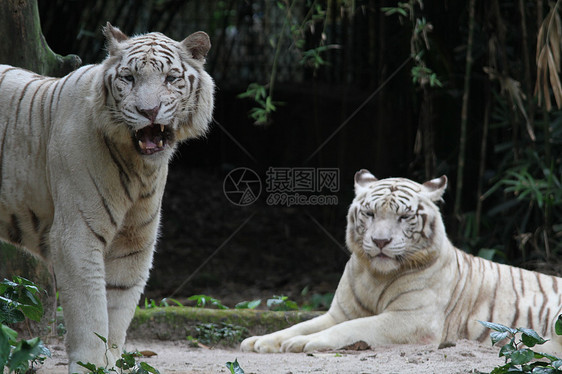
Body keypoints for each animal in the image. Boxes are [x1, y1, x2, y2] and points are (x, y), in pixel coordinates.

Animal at [0, 24, 213, 374]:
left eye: (171, 78)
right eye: (128, 77)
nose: (148, 111)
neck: (139, 168)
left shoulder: (133, 242)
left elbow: (118, 307)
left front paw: (110, 362)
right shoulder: (76, 234)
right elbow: (90, 308)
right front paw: (89, 364)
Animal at [240, 169, 560, 354]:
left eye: (404, 216)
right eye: (369, 213)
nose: (380, 241)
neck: (374, 274)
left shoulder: (411, 319)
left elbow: (349, 328)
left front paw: (302, 344)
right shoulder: (339, 312)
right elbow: (299, 325)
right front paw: (260, 341)